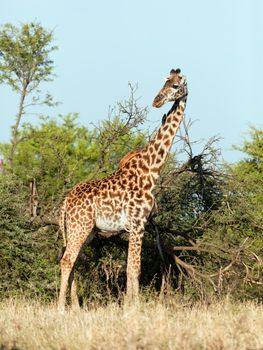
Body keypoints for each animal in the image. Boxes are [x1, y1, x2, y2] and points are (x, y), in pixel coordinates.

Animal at [58, 67, 189, 308]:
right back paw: (61, 307)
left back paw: (77, 307)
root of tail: (65, 201)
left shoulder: (138, 225)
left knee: (73, 260)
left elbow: (133, 268)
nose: (156, 101)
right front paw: (132, 307)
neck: (151, 169)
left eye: (175, 85)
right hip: (80, 227)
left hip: (86, 230)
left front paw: (131, 305)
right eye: (165, 82)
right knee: (67, 259)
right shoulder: (137, 224)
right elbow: (133, 269)